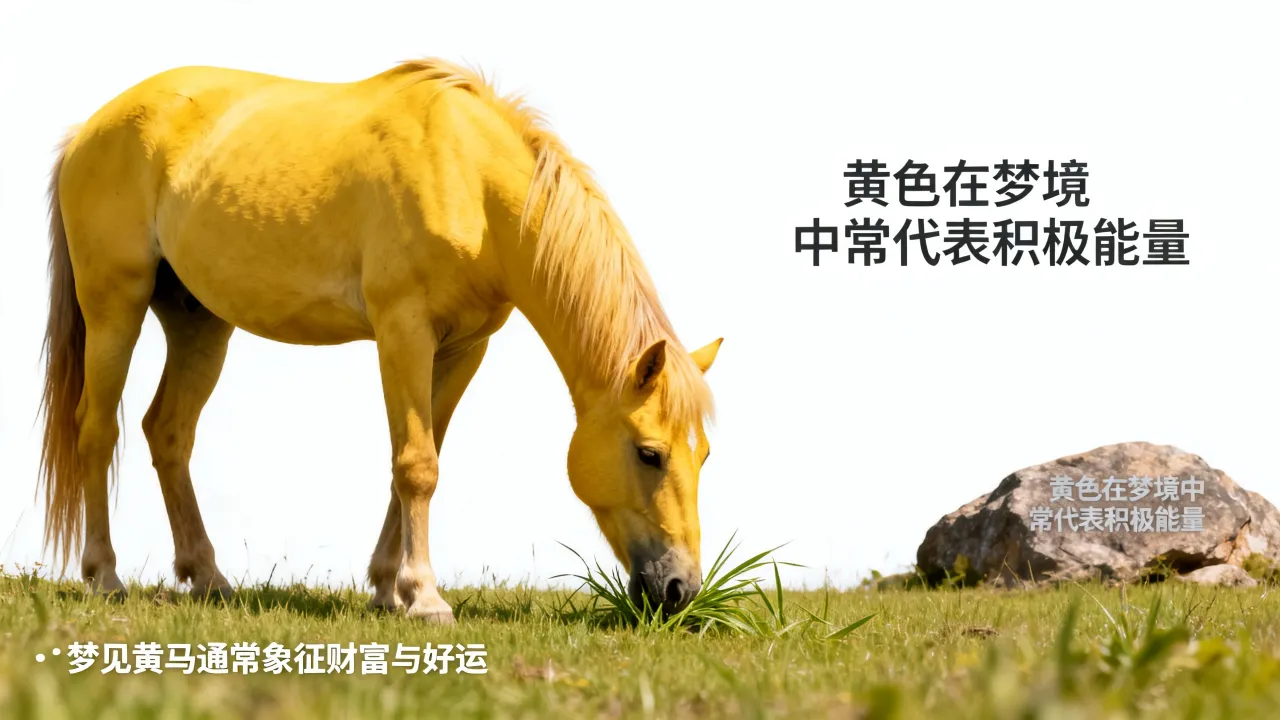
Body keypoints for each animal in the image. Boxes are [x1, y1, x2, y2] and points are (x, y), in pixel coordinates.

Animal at [38, 59, 721, 622]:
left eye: (705, 455)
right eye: (650, 453)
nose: (680, 590)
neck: (469, 179)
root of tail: (88, 130)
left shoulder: (463, 348)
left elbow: (421, 455)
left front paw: (389, 589)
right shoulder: (404, 331)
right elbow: (416, 464)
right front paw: (425, 598)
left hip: (199, 322)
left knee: (169, 433)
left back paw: (207, 577)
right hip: (115, 308)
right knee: (98, 431)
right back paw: (105, 577)